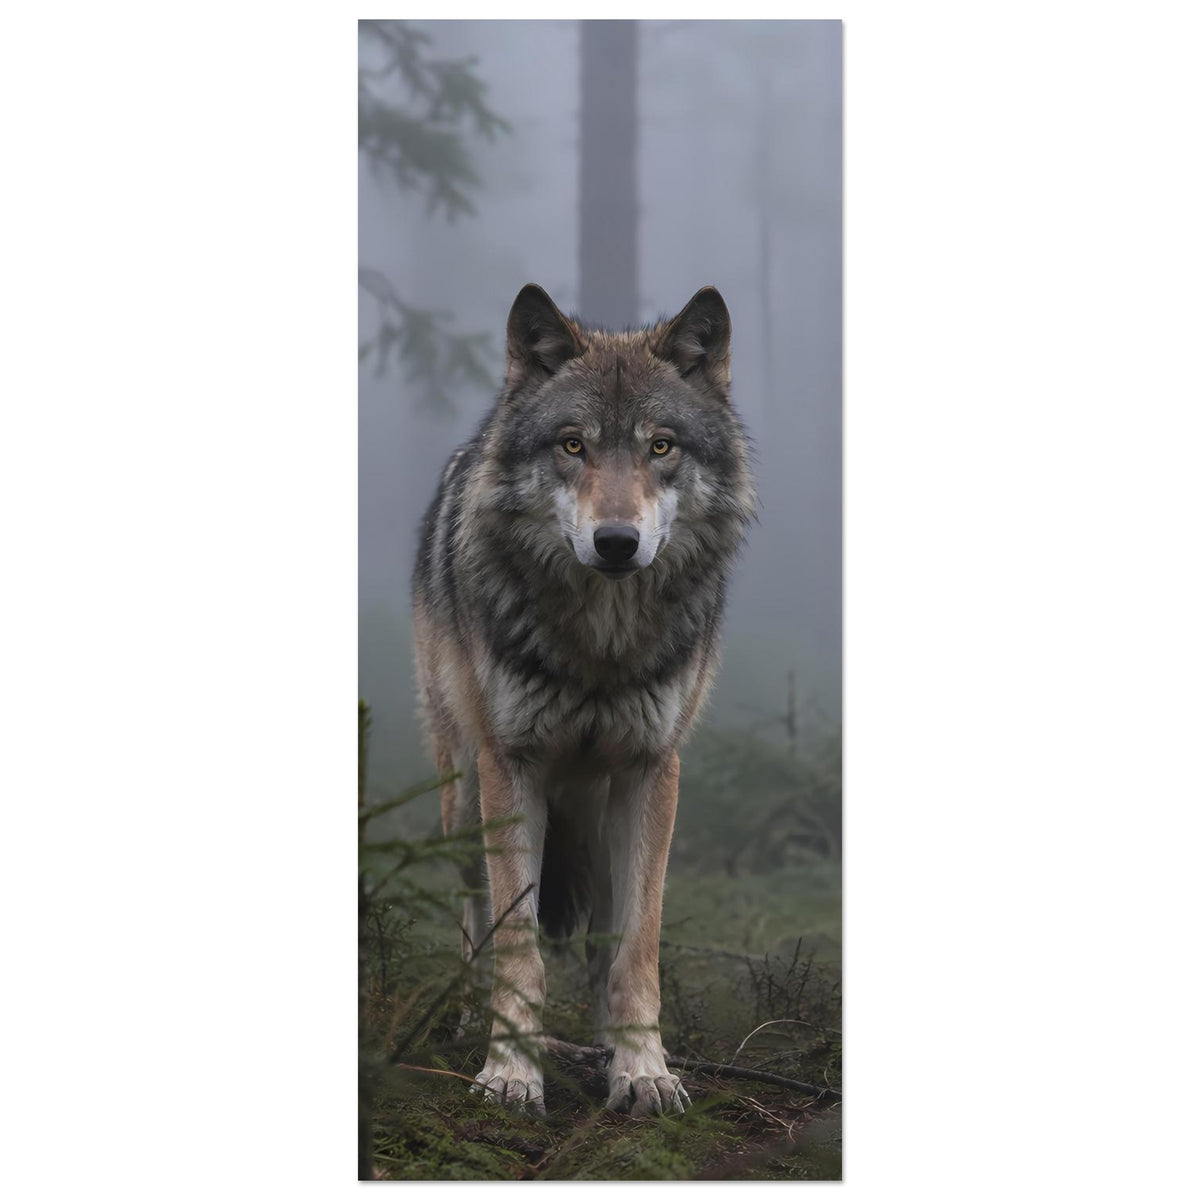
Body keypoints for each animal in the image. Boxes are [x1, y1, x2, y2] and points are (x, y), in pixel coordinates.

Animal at [412, 283, 755, 1117]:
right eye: (573, 445)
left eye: (661, 446)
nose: (616, 543)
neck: (601, 645)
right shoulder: (512, 766)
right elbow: (518, 946)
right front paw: (509, 1072)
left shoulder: (651, 770)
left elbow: (637, 949)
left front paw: (643, 1069)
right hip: (463, 799)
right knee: (474, 919)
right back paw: (464, 1023)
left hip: (598, 818)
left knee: (603, 937)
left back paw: (605, 1045)